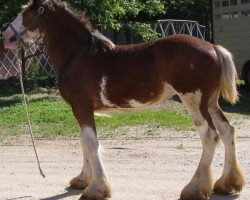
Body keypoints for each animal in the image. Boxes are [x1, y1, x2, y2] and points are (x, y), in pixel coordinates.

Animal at [2, 0, 244, 200]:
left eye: (26, 12)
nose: (5, 37)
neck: (78, 56)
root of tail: (213, 48)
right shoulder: (80, 109)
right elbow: (83, 142)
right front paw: (82, 180)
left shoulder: (82, 107)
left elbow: (91, 143)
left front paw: (97, 189)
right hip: (210, 103)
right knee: (227, 130)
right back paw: (227, 184)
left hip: (193, 101)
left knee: (210, 136)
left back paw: (194, 189)